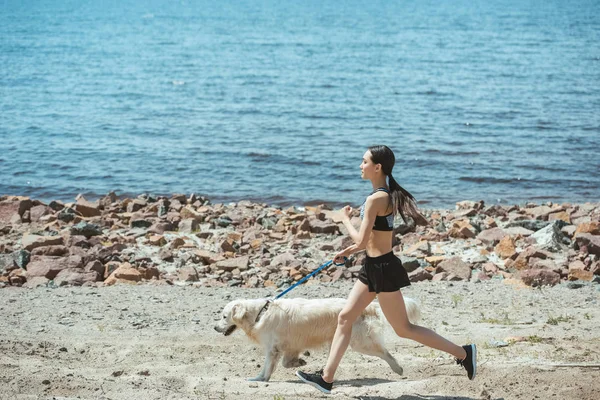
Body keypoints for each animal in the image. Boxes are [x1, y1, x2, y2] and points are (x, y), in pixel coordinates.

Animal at [213, 296, 420, 382]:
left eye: (224, 316)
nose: (215, 327)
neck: (259, 313)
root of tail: (369, 305)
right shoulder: (290, 345)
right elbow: (286, 362)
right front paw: (300, 362)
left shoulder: (272, 348)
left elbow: (267, 367)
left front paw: (259, 378)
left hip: (360, 342)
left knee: (384, 352)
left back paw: (398, 368)